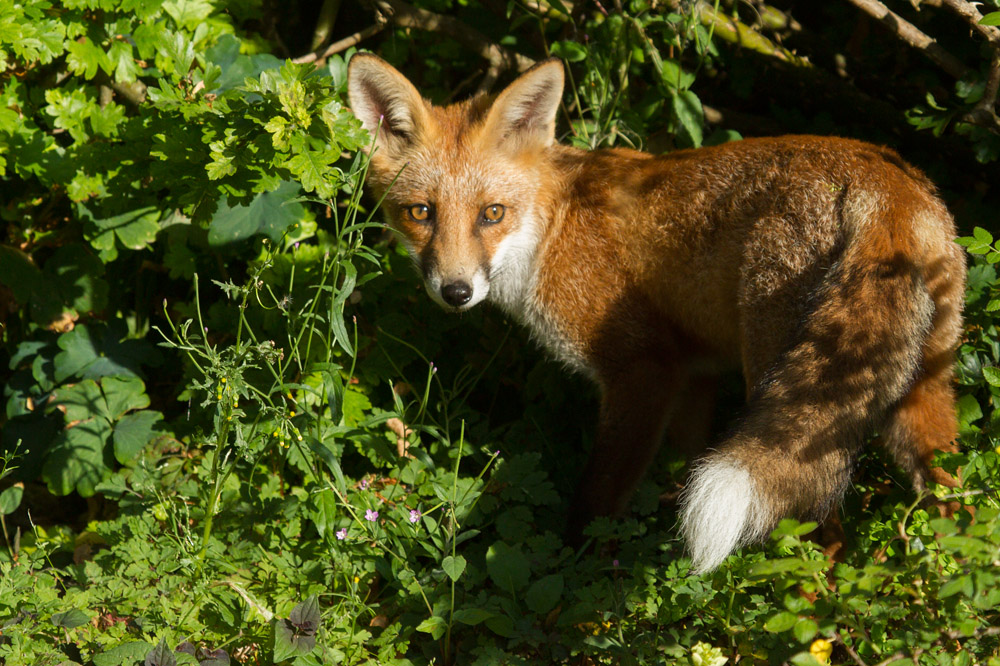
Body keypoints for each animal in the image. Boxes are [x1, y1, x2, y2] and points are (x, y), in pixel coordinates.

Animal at [346, 54, 966, 572]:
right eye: (420, 213)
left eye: (491, 214)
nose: (455, 291)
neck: (552, 230)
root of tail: (884, 180)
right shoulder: (694, 374)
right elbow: (688, 458)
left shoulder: (645, 369)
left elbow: (597, 498)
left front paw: (579, 573)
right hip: (918, 397)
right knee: (952, 499)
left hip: (783, 382)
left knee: (827, 537)